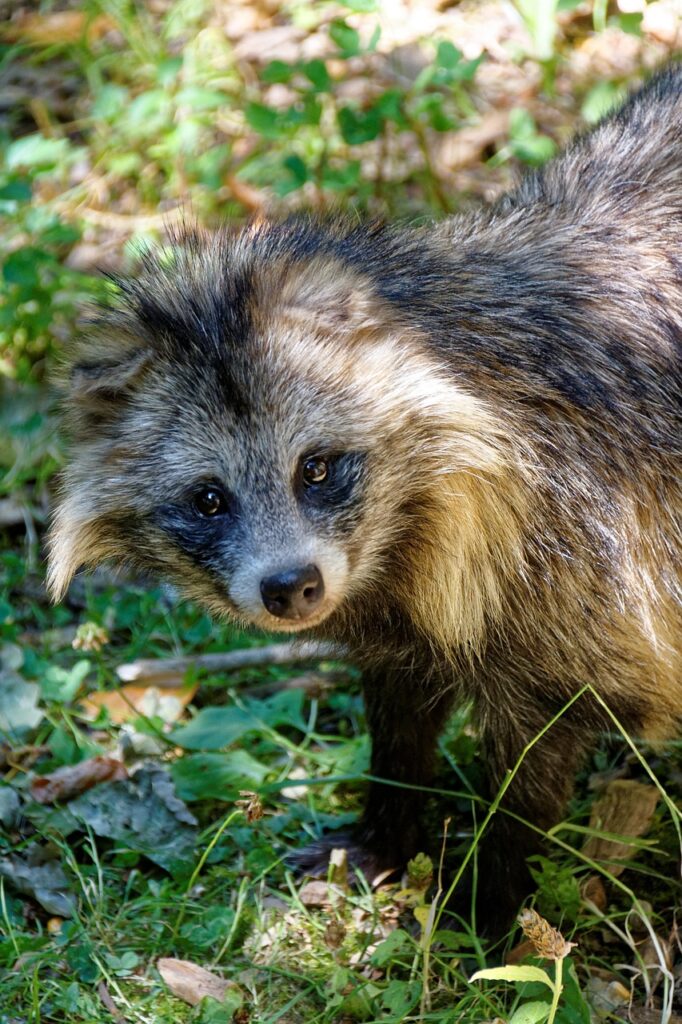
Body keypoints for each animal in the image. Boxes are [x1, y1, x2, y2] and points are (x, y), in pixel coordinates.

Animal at [49, 66, 679, 929]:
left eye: (315, 468)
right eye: (209, 499)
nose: (291, 588)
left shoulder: (585, 557)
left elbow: (539, 753)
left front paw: (491, 891)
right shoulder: (400, 601)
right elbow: (400, 697)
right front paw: (387, 823)